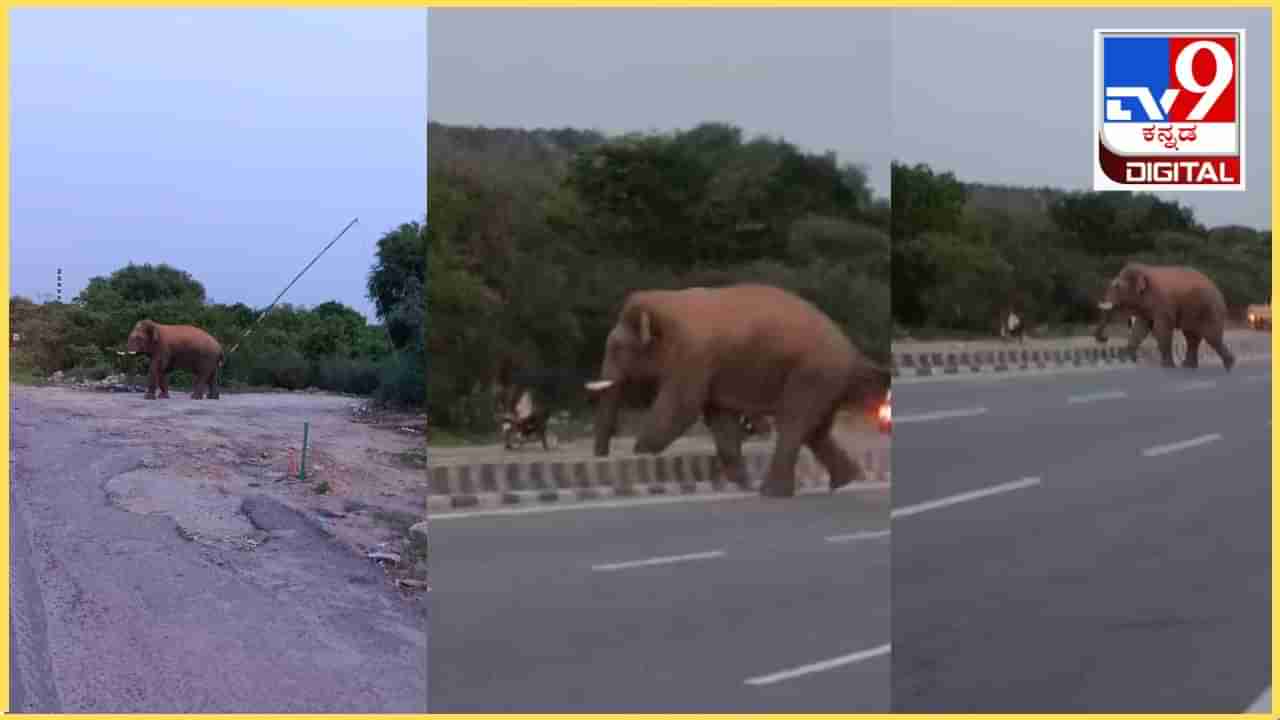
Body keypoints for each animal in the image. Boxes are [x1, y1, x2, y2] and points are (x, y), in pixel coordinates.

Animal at [583, 283, 890, 497]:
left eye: (617, 349)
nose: (602, 458)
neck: (664, 304)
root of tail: (850, 351)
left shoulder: (693, 355)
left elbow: (681, 408)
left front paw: (641, 451)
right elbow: (719, 416)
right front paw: (743, 483)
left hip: (812, 373)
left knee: (794, 422)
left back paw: (771, 494)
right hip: (824, 379)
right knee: (816, 430)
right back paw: (844, 481)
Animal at [1095, 262, 1233, 368]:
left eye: (1117, 287)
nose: (1104, 338)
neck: (1144, 270)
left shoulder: (1163, 302)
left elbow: (1161, 329)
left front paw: (1167, 366)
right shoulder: (1146, 307)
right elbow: (1140, 329)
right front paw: (1127, 360)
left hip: (1211, 309)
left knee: (1211, 337)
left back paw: (1229, 366)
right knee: (1192, 337)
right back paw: (1188, 366)